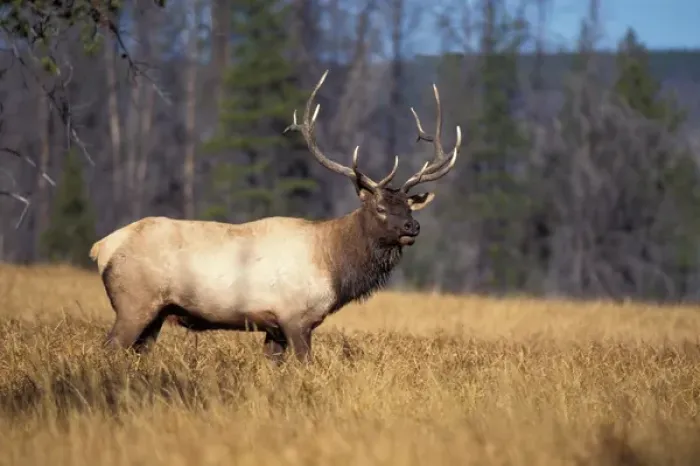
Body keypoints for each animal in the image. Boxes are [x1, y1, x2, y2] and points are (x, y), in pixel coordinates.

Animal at [88, 70, 461, 364]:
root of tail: (102, 247)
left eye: (409, 207)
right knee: (108, 348)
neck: (335, 266)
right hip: (134, 303)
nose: (413, 226)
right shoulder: (295, 318)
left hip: (156, 313)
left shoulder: (274, 328)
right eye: (380, 208)